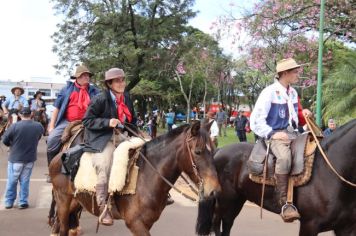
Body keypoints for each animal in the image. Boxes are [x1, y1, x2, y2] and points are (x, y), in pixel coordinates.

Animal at [48, 121, 221, 235]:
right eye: (198, 151)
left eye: (214, 150)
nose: (215, 191)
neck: (147, 177)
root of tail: (59, 157)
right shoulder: (136, 224)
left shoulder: (147, 223)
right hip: (63, 201)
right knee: (62, 227)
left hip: (76, 201)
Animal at [196, 120, 356, 236]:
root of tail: (218, 150)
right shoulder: (309, 225)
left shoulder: (346, 228)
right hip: (225, 201)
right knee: (217, 224)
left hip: (236, 201)